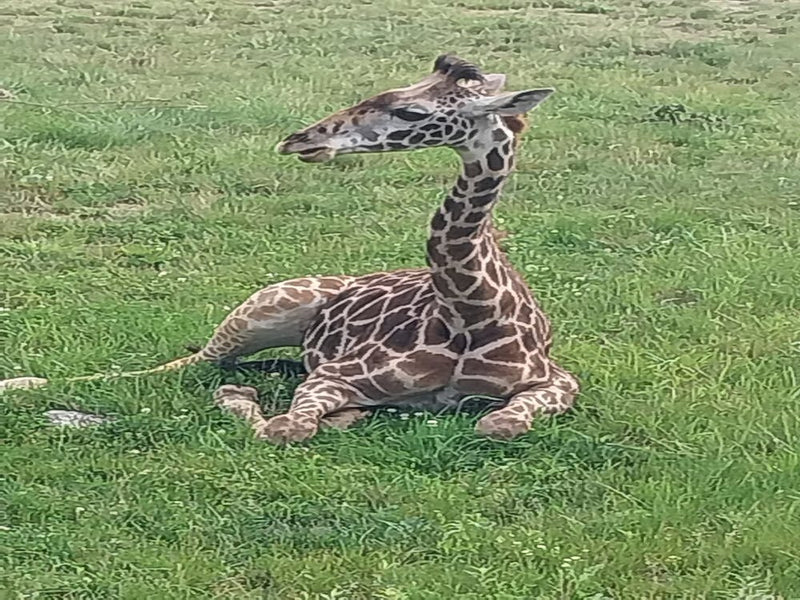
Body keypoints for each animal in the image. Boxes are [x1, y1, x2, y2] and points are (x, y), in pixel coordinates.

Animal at [1, 54, 579, 443]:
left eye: (410, 112)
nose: (301, 139)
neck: (472, 313)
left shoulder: (557, 381)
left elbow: (498, 424)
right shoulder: (331, 375)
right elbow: (287, 428)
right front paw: (251, 404)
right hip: (263, 309)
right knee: (190, 363)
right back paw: (21, 381)